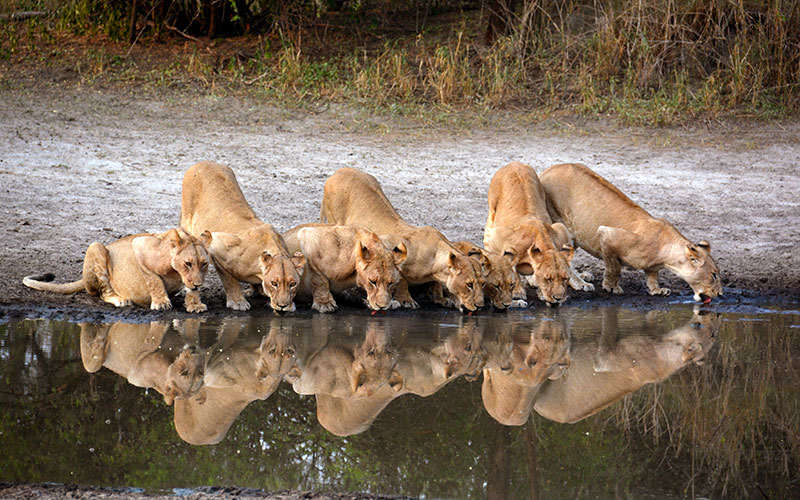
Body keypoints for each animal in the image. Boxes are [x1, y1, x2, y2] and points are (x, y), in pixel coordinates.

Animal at [24, 228, 211, 312]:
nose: (198, 284)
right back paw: (120, 299)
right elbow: (154, 279)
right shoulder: (139, 244)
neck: (176, 274)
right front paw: (161, 302)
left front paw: (195, 303)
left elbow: (191, 290)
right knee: (103, 292)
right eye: (187, 263)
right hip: (96, 247)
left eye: (204, 264)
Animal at [181, 160, 306, 310]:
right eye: (274, 283)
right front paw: (237, 302)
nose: (283, 306)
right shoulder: (217, 247)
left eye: (292, 284)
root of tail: (203, 162)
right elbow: (230, 280)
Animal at [318, 166, 482, 310]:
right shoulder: (391, 248)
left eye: (482, 283)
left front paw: (440, 298)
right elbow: (401, 280)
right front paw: (406, 300)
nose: (479, 306)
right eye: (469, 284)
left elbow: (435, 284)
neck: (434, 263)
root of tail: (339, 171)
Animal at [482, 162, 588, 308]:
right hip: (492, 212)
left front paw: (541, 293)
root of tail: (515, 163)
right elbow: (510, 265)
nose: (558, 299)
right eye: (548, 279)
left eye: (564, 278)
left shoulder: (560, 230)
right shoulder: (498, 236)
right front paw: (518, 292)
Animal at [540, 163, 720, 300]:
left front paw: (657, 290)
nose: (719, 294)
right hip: (560, 222)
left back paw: (583, 276)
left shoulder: (653, 266)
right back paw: (581, 283)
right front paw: (611, 287)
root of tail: (546, 170)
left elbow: (652, 275)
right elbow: (614, 267)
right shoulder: (607, 235)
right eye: (714, 275)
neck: (666, 256)